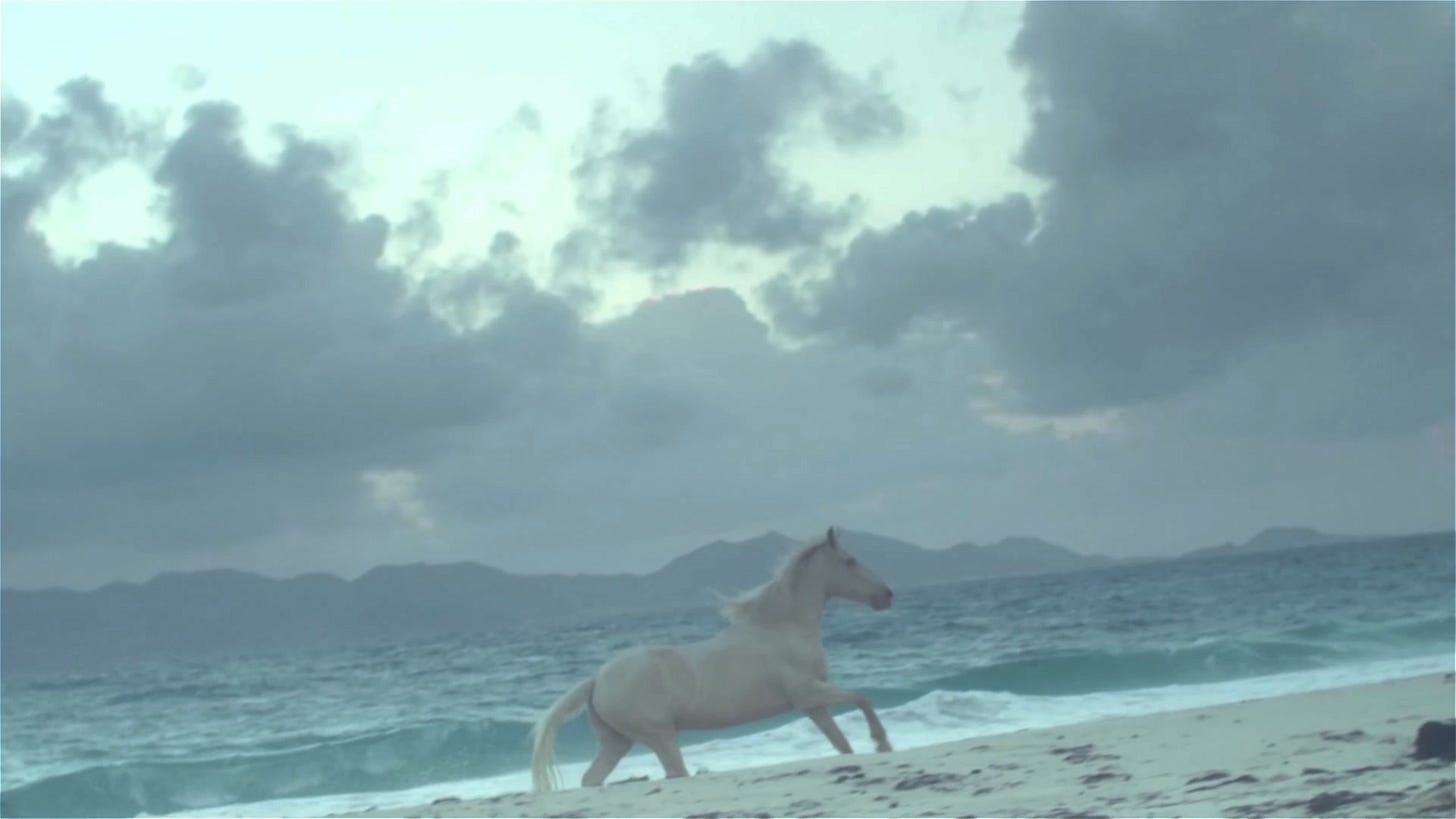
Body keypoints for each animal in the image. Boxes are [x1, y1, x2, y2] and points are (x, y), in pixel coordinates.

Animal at [529, 526, 895, 792]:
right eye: (849, 561)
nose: (887, 595)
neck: (781, 629)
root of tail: (597, 679)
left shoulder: (812, 705)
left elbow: (842, 743)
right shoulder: (807, 692)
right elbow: (862, 697)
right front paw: (882, 743)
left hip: (617, 742)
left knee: (592, 778)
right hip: (660, 736)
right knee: (674, 772)